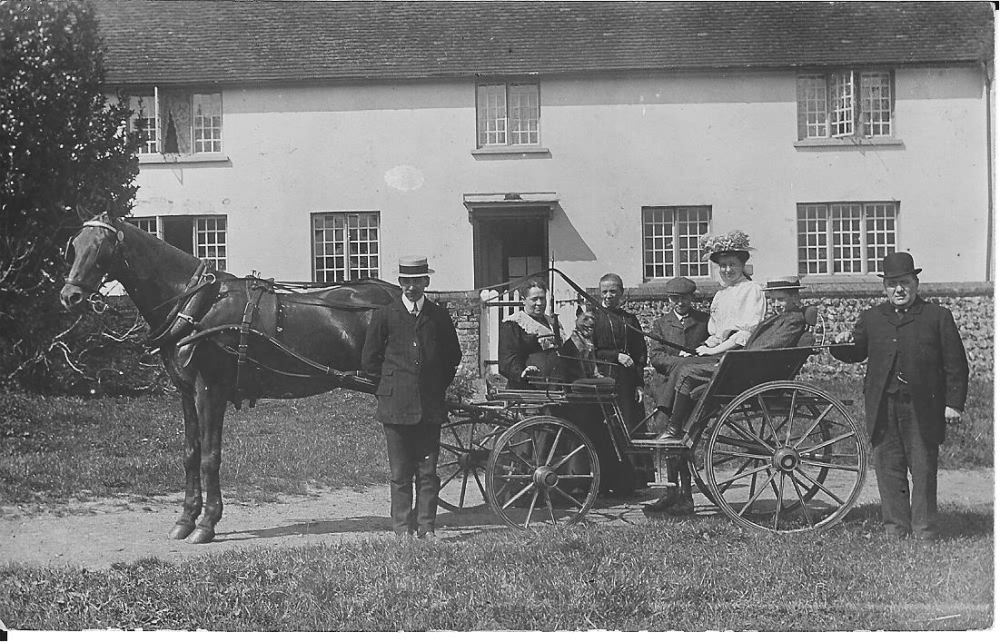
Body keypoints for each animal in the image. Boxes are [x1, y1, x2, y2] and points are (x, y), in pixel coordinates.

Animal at [59, 214, 398, 540]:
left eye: (100, 248)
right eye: (74, 246)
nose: (69, 296)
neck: (195, 304)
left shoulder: (211, 391)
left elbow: (210, 457)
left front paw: (207, 523)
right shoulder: (187, 393)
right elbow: (190, 454)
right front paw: (185, 519)